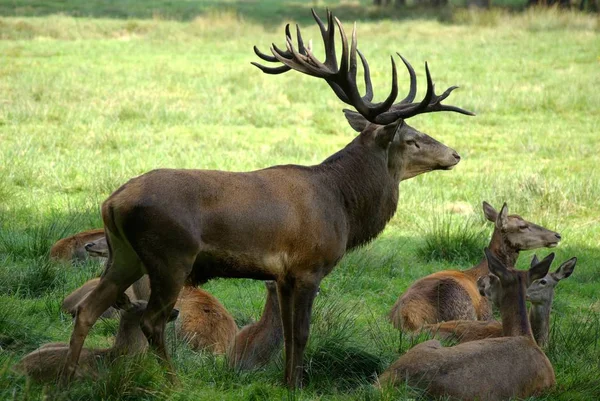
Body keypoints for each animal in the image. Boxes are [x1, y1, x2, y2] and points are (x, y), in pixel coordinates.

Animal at [61, 7, 474, 386]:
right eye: (413, 138)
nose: (455, 154)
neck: (342, 205)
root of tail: (112, 202)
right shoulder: (309, 266)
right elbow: (302, 333)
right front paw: (297, 385)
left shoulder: (283, 275)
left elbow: (289, 335)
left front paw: (287, 382)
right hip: (170, 255)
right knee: (152, 320)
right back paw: (173, 382)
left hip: (125, 254)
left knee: (88, 309)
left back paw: (67, 378)